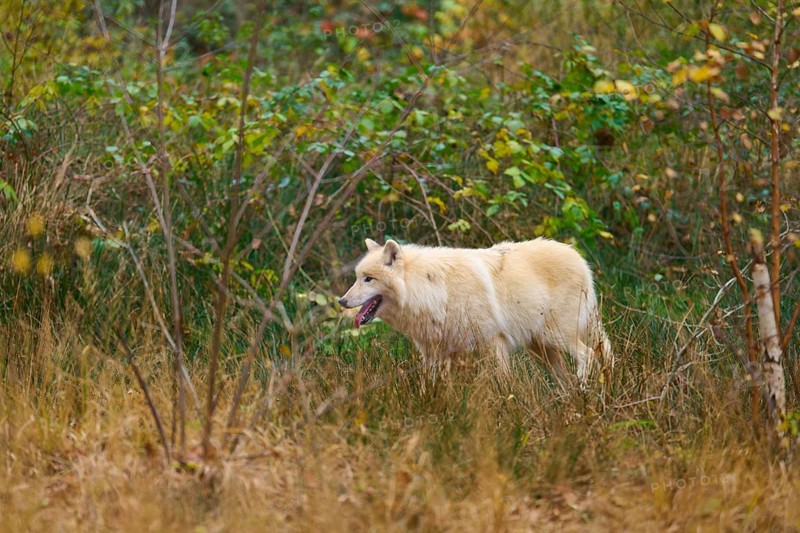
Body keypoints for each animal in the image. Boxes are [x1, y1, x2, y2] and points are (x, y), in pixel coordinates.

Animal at [339, 238, 613, 382]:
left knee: (589, 355)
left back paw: (583, 389)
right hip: (542, 349)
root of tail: (580, 259)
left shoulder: (493, 343)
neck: (434, 291)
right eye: (357, 277)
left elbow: (503, 383)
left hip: (555, 336)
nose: (342, 301)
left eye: (368, 279)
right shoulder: (435, 355)